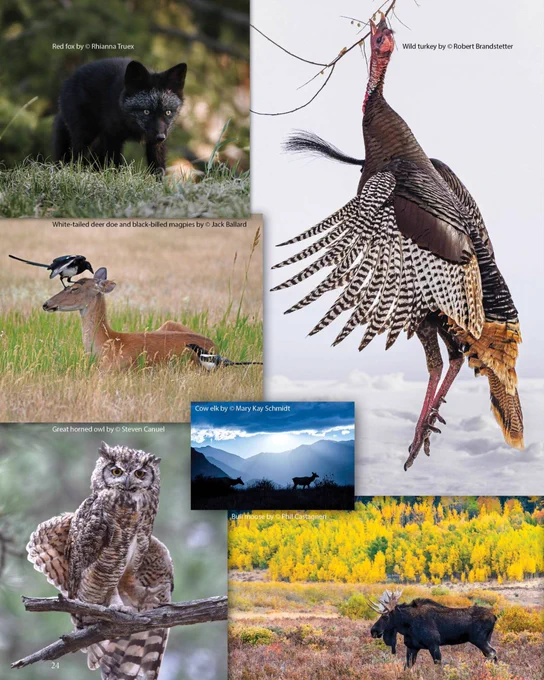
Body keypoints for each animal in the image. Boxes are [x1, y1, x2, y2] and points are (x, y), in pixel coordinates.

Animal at [53, 57, 187, 175]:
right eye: (146, 112)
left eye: (167, 112)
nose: (160, 137)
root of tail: (68, 80)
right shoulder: (112, 137)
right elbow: (115, 165)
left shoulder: (155, 144)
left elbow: (158, 169)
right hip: (86, 136)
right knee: (76, 157)